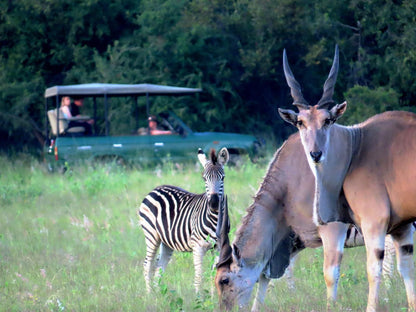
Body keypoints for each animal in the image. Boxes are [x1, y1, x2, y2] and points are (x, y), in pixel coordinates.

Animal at [140, 147, 231, 294]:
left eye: (222, 177)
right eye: (204, 178)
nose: (214, 203)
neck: (215, 218)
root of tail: (155, 188)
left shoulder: (218, 247)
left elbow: (215, 274)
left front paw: (214, 298)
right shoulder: (197, 246)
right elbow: (199, 276)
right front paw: (199, 299)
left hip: (166, 241)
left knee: (160, 266)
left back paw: (159, 296)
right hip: (151, 235)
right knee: (147, 265)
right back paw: (149, 296)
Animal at [278, 45, 416, 310]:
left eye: (328, 120)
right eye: (300, 122)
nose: (315, 154)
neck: (355, 148)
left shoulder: (375, 222)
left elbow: (373, 270)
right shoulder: (402, 228)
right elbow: (407, 271)